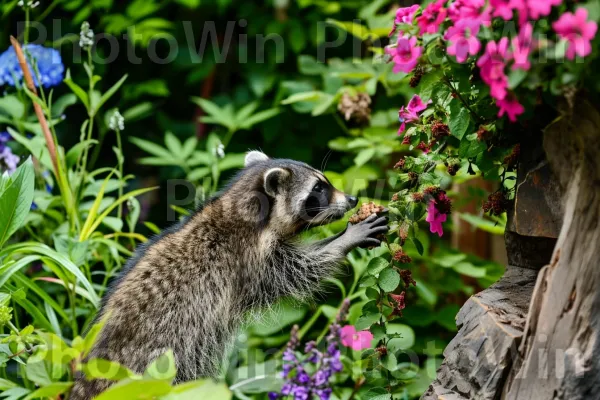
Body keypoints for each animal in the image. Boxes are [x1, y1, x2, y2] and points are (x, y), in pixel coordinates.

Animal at [70, 152, 390, 398]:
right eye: (318, 189)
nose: (352, 199)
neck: (244, 210)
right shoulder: (249, 263)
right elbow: (303, 270)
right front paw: (346, 239)